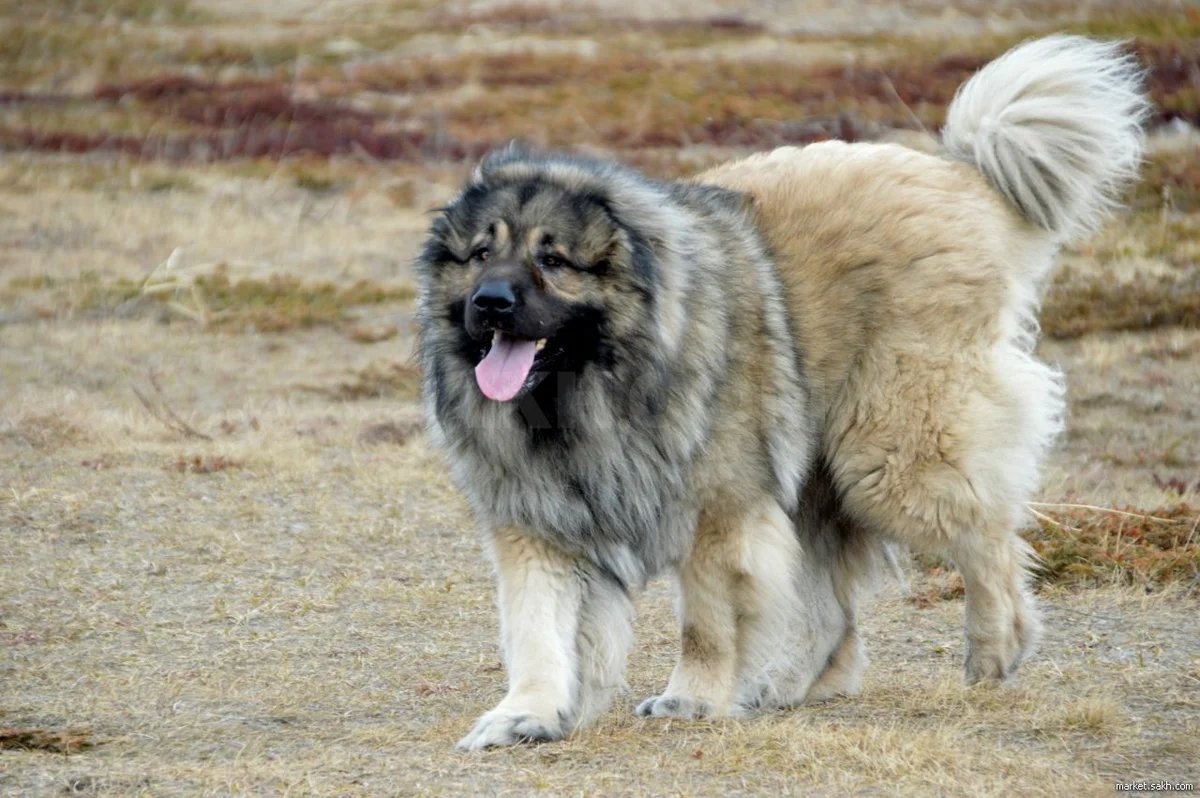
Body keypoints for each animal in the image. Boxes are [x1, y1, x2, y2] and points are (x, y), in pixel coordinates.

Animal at [417, 37, 1147, 748]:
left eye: (553, 260)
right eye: (481, 255)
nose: (491, 303)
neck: (594, 391)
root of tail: (963, 174)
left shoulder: (719, 512)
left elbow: (707, 623)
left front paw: (692, 698)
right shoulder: (542, 522)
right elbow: (539, 629)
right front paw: (529, 713)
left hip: (886, 457)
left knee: (986, 538)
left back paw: (994, 648)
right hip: (817, 476)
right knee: (832, 610)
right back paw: (788, 686)